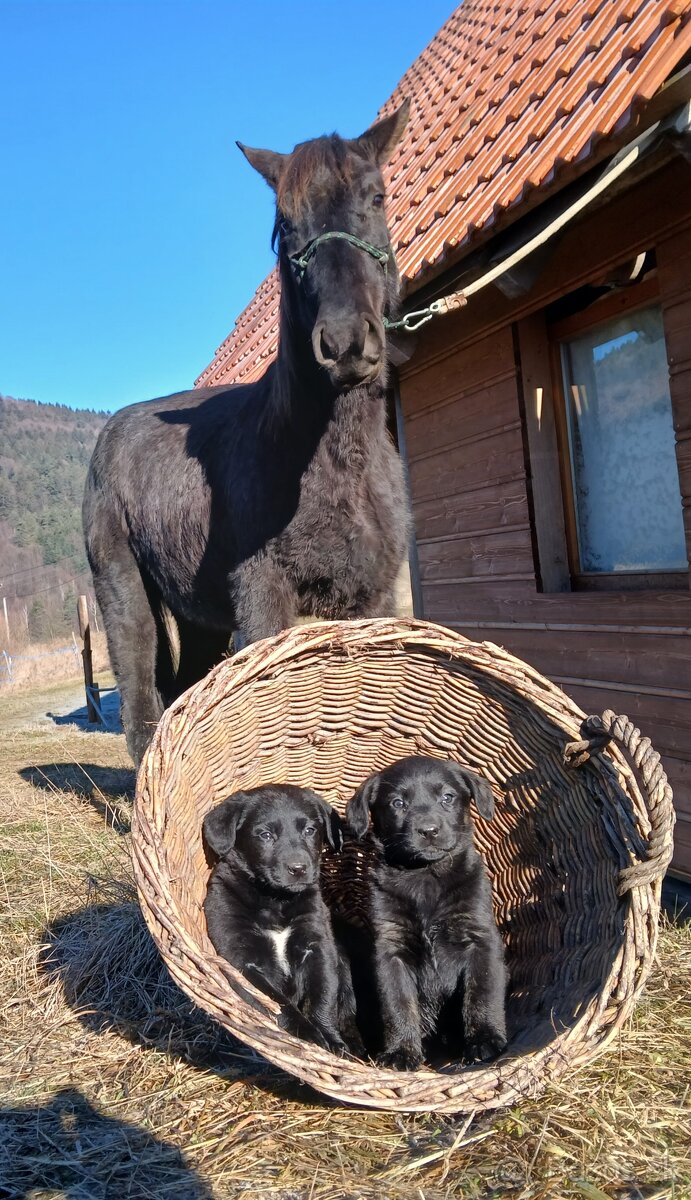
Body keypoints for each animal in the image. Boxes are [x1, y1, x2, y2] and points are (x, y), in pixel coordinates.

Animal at [85, 103, 410, 763]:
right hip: (124, 595)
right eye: (285, 225)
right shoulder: (263, 601)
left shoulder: (373, 598)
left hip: (197, 615)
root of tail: (109, 436)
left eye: (377, 196)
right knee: (141, 708)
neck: (333, 465)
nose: (345, 343)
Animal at [202, 782, 362, 1056]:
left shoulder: (319, 948)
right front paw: (310, 1036)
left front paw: (331, 1039)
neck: (275, 899)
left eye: (310, 830)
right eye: (265, 835)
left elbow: (322, 997)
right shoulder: (242, 961)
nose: (298, 869)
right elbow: (279, 1003)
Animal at [347, 753, 503, 1075]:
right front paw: (401, 1051)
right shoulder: (390, 950)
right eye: (397, 803)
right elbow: (398, 1004)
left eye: (448, 797)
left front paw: (485, 1040)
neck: (425, 876)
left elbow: (482, 991)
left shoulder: (480, 938)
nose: (429, 831)